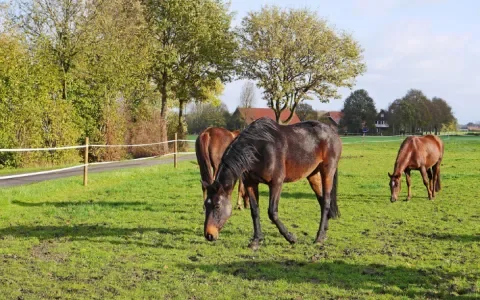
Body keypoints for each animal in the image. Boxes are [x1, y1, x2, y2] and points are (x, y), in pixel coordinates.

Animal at [202, 117, 342, 248]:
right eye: (205, 205)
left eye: (217, 206)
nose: (209, 235)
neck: (259, 147)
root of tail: (333, 133)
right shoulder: (250, 183)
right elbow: (254, 211)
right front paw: (256, 240)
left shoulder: (276, 183)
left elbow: (272, 212)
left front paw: (291, 237)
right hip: (313, 175)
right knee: (321, 200)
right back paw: (324, 233)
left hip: (327, 172)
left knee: (326, 202)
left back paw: (319, 237)